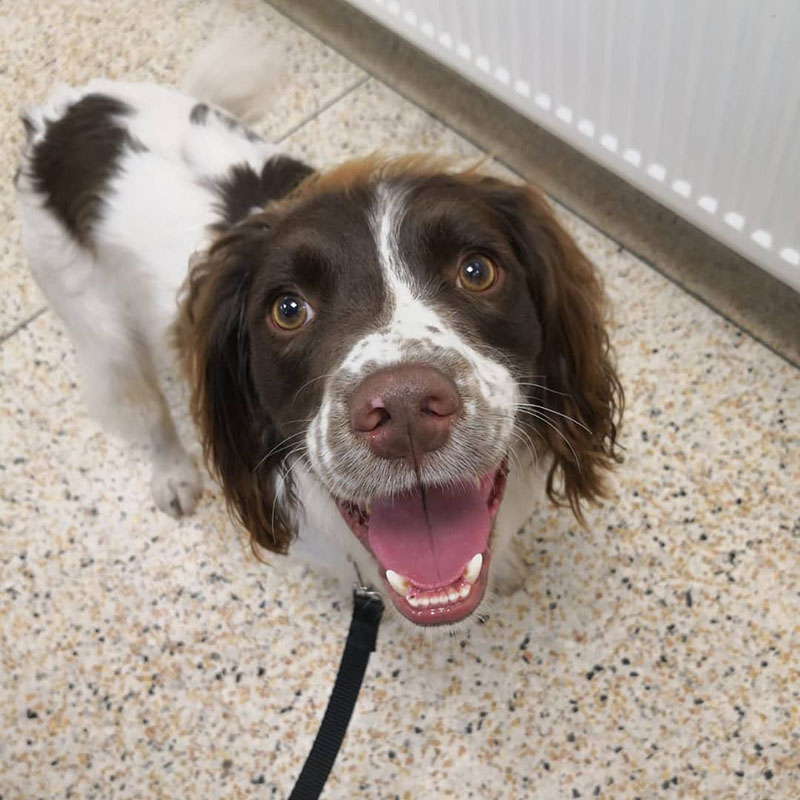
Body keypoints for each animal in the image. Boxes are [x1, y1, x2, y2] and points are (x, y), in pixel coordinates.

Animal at [14, 42, 624, 632]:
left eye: (477, 270)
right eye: (288, 309)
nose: (405, 411)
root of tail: (62, 113)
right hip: (96, 326)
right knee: (146, 410)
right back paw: (173, 474)